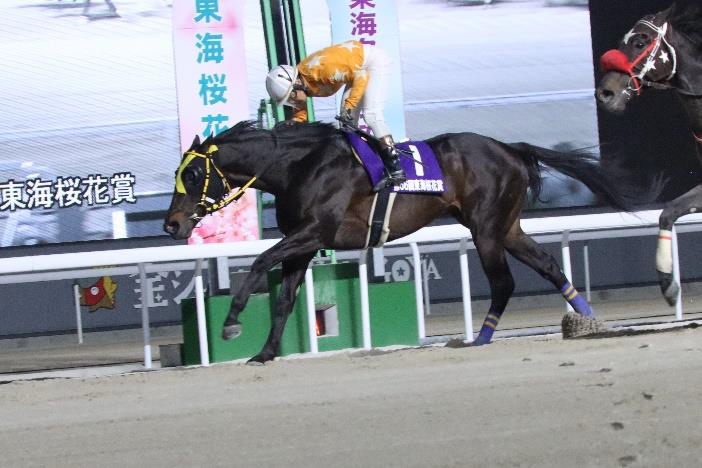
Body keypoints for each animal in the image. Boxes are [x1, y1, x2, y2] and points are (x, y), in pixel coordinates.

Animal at [164, 121, 639, 365]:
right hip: (507, 227)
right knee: (548, 266)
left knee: (504, 282)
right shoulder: (303, 243)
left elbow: (260, 263)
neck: (300, 165)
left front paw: (231, 322)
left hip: (486, 228)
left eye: (193, 174)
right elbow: (284, 299)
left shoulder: (314, 230)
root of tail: (510, 148)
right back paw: (588, 318)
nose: (171, 224)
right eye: (178, 174)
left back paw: (482, 339)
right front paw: (264, 353)